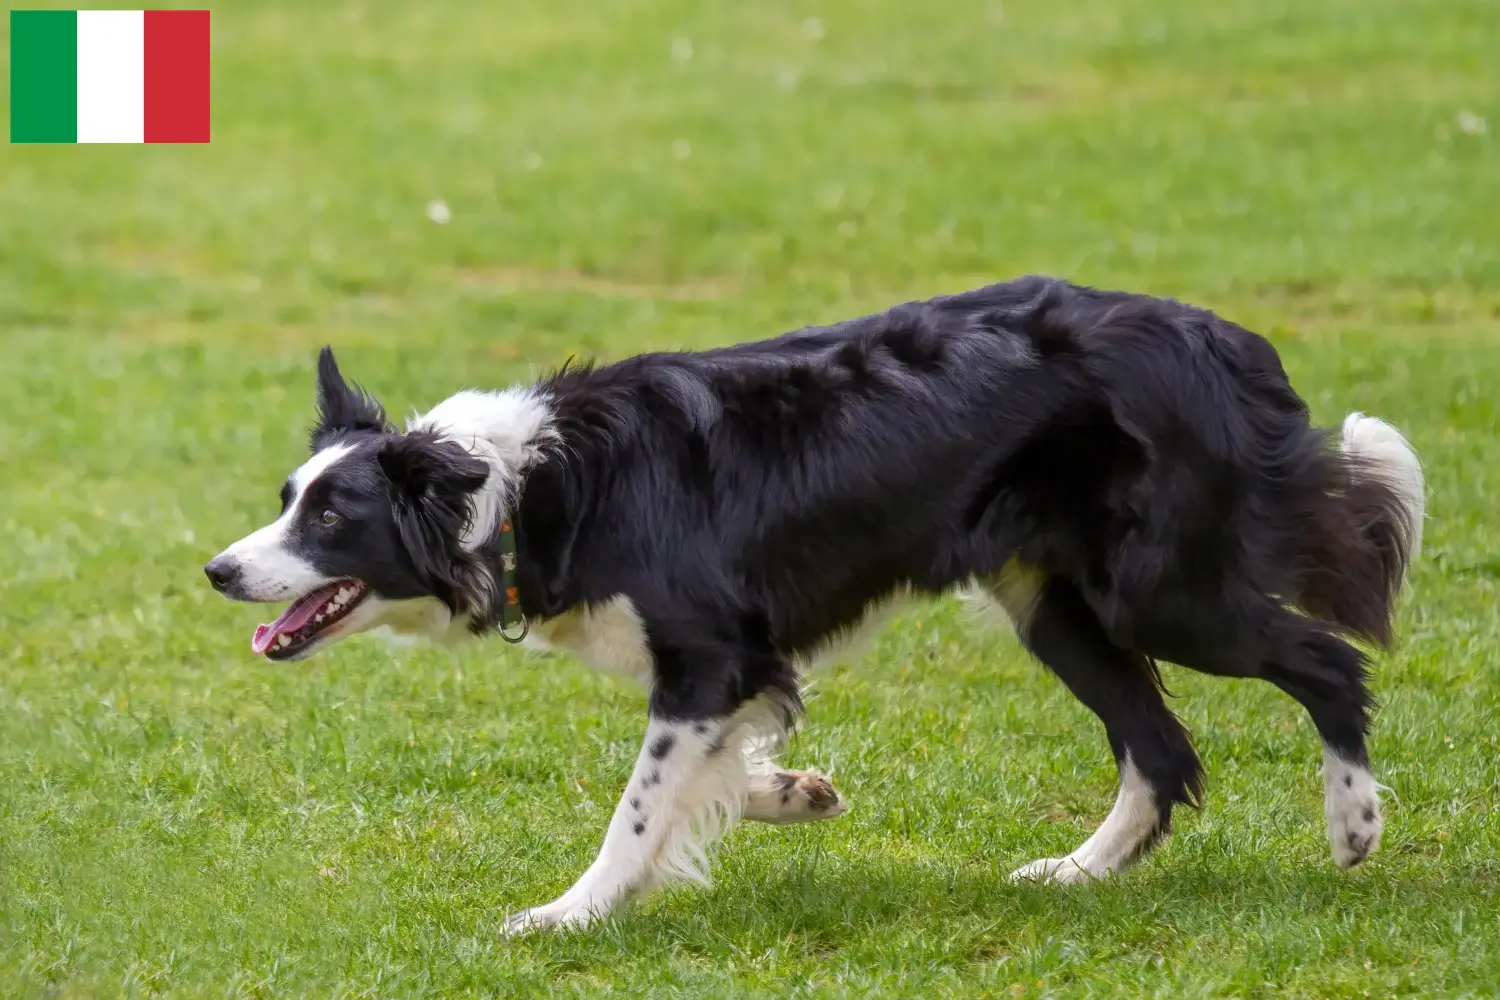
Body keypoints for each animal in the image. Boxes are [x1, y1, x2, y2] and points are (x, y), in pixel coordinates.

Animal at [205, 275, 1422, 929]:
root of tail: (1224, 339)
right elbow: (708, 774)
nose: (217, 570)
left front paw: (568, 914)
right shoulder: (736, 668)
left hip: (1159, 592)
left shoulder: (707, 655)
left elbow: (635, 806)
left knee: (1327, 665)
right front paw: (790, 793)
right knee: (1161, 750)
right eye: (286, 501)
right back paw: (1077, 872)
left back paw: (1354, 824)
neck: (519, 488)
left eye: (330, 517)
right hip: (1054, 607)